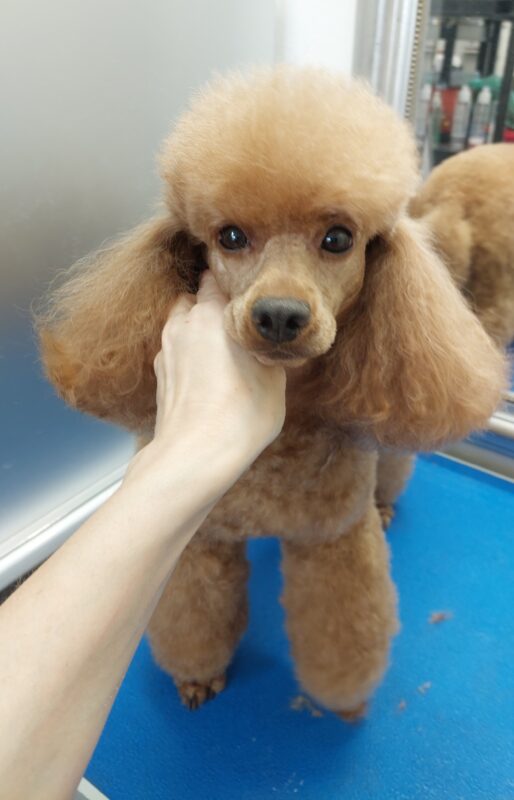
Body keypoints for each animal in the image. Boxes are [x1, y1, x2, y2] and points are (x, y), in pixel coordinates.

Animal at [38, 68, 505, 719]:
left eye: (338, 238)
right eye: (230, 236)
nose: (280, 315)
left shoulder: (333, 539)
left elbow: (342, 628)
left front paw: (342, 698)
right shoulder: (198, 539)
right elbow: (192, 614)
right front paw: (198, 674)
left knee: (393, 460)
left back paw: (387, 502)